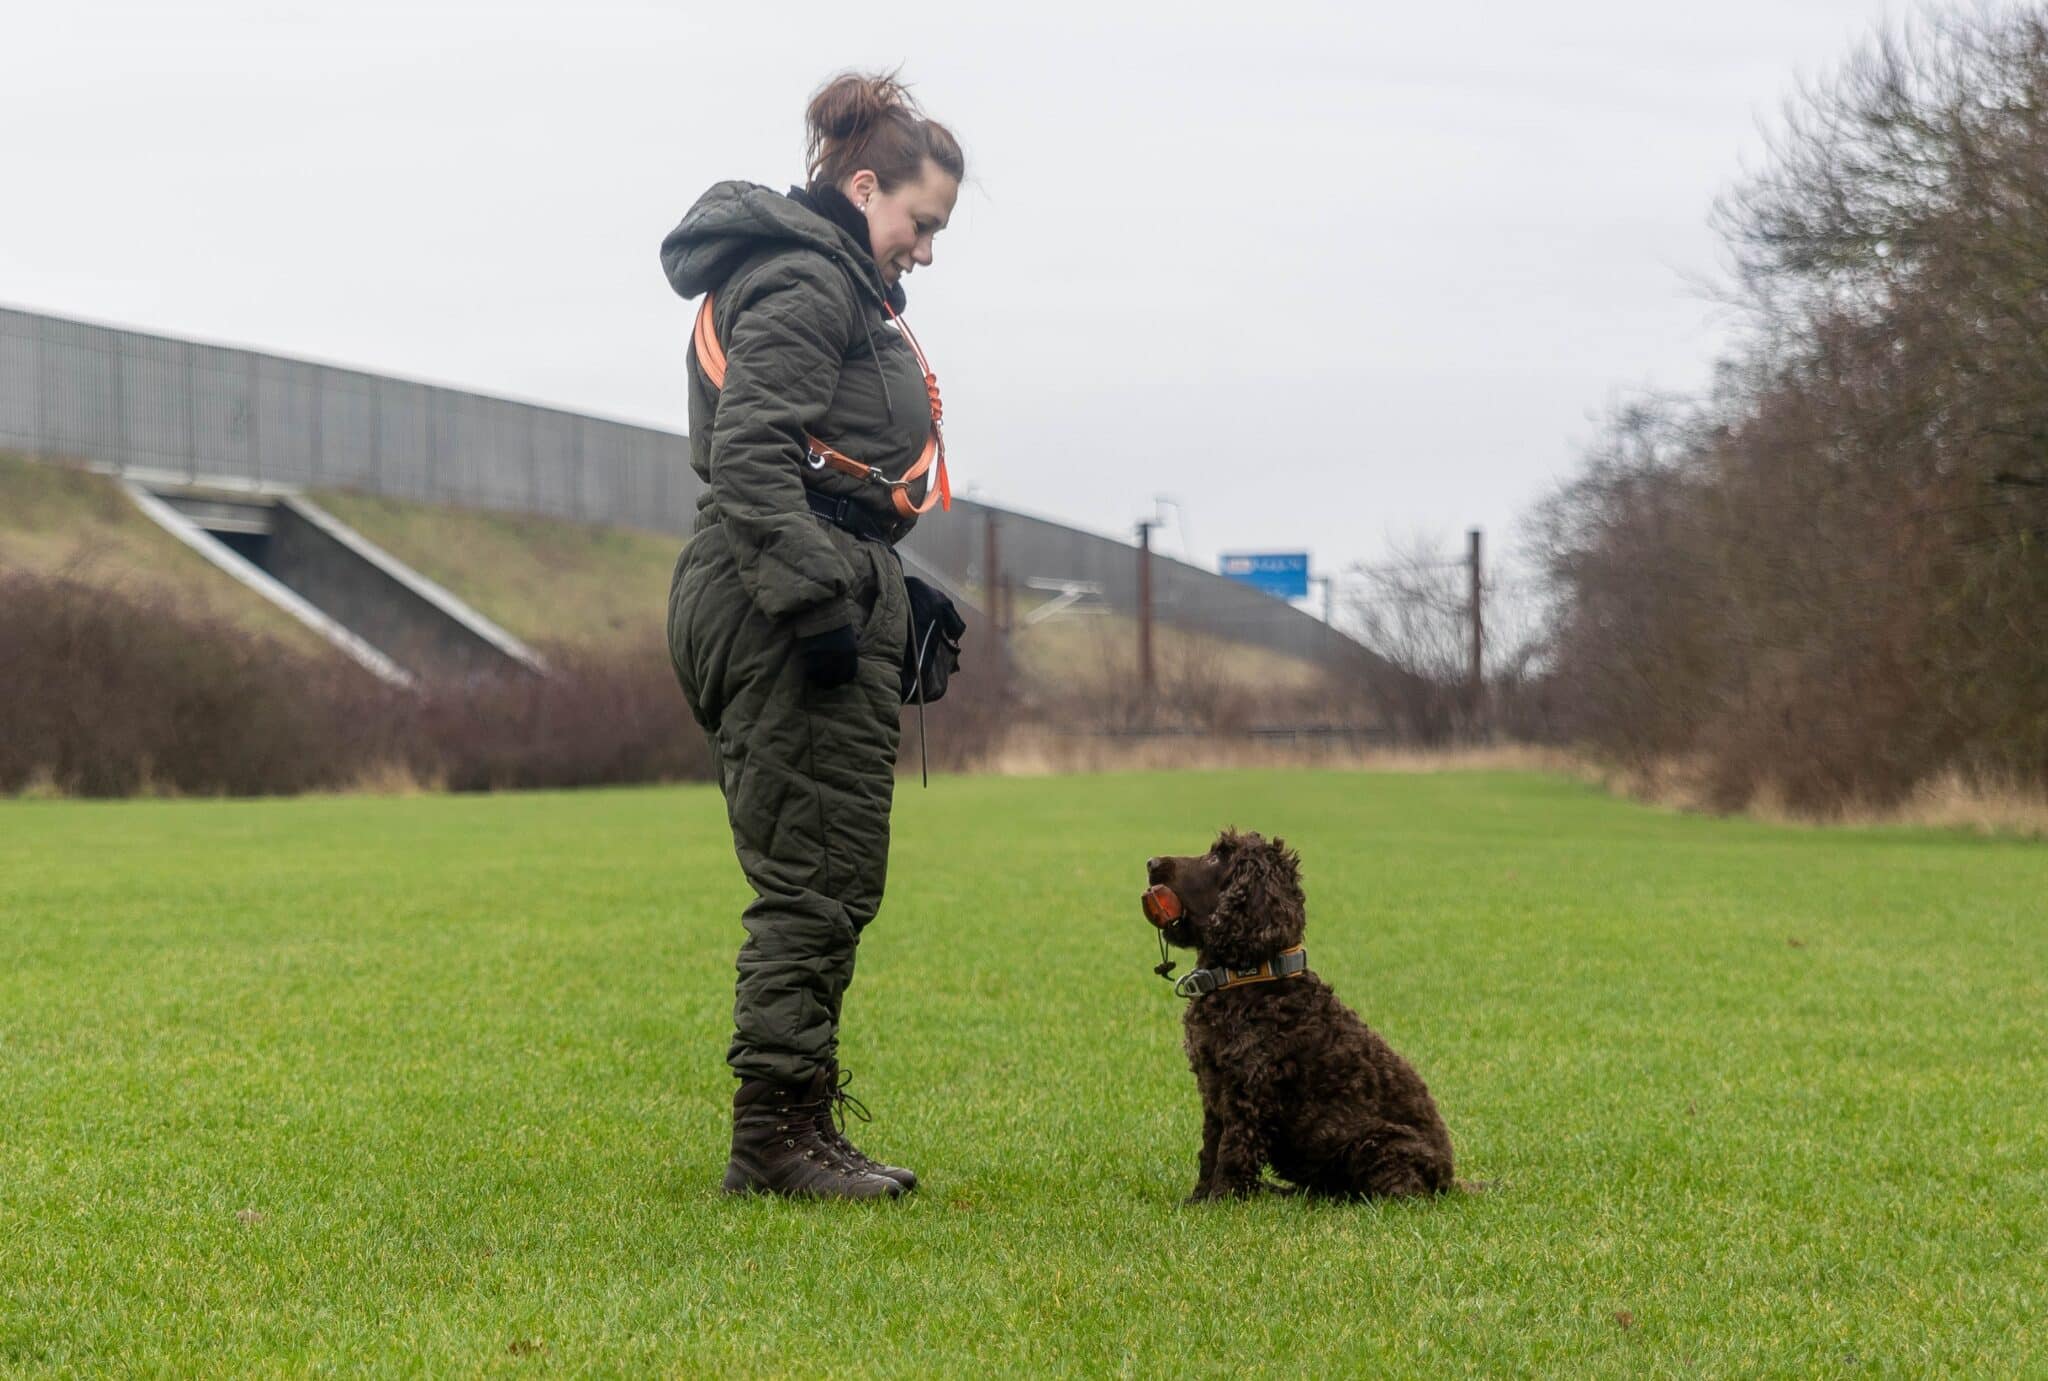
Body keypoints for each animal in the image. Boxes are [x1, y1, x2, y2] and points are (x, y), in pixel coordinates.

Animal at [1144, 829, 1455, 1202]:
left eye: (1218, 857)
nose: (1150, 862)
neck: (1248, 977)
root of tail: (1450, 1181)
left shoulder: (1247, 1096)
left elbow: (1231, 1154)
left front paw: (1220, 1203)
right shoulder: (1214, 1092)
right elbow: (1210, 1151)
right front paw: (1197, 1200)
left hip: (1379, 1145)